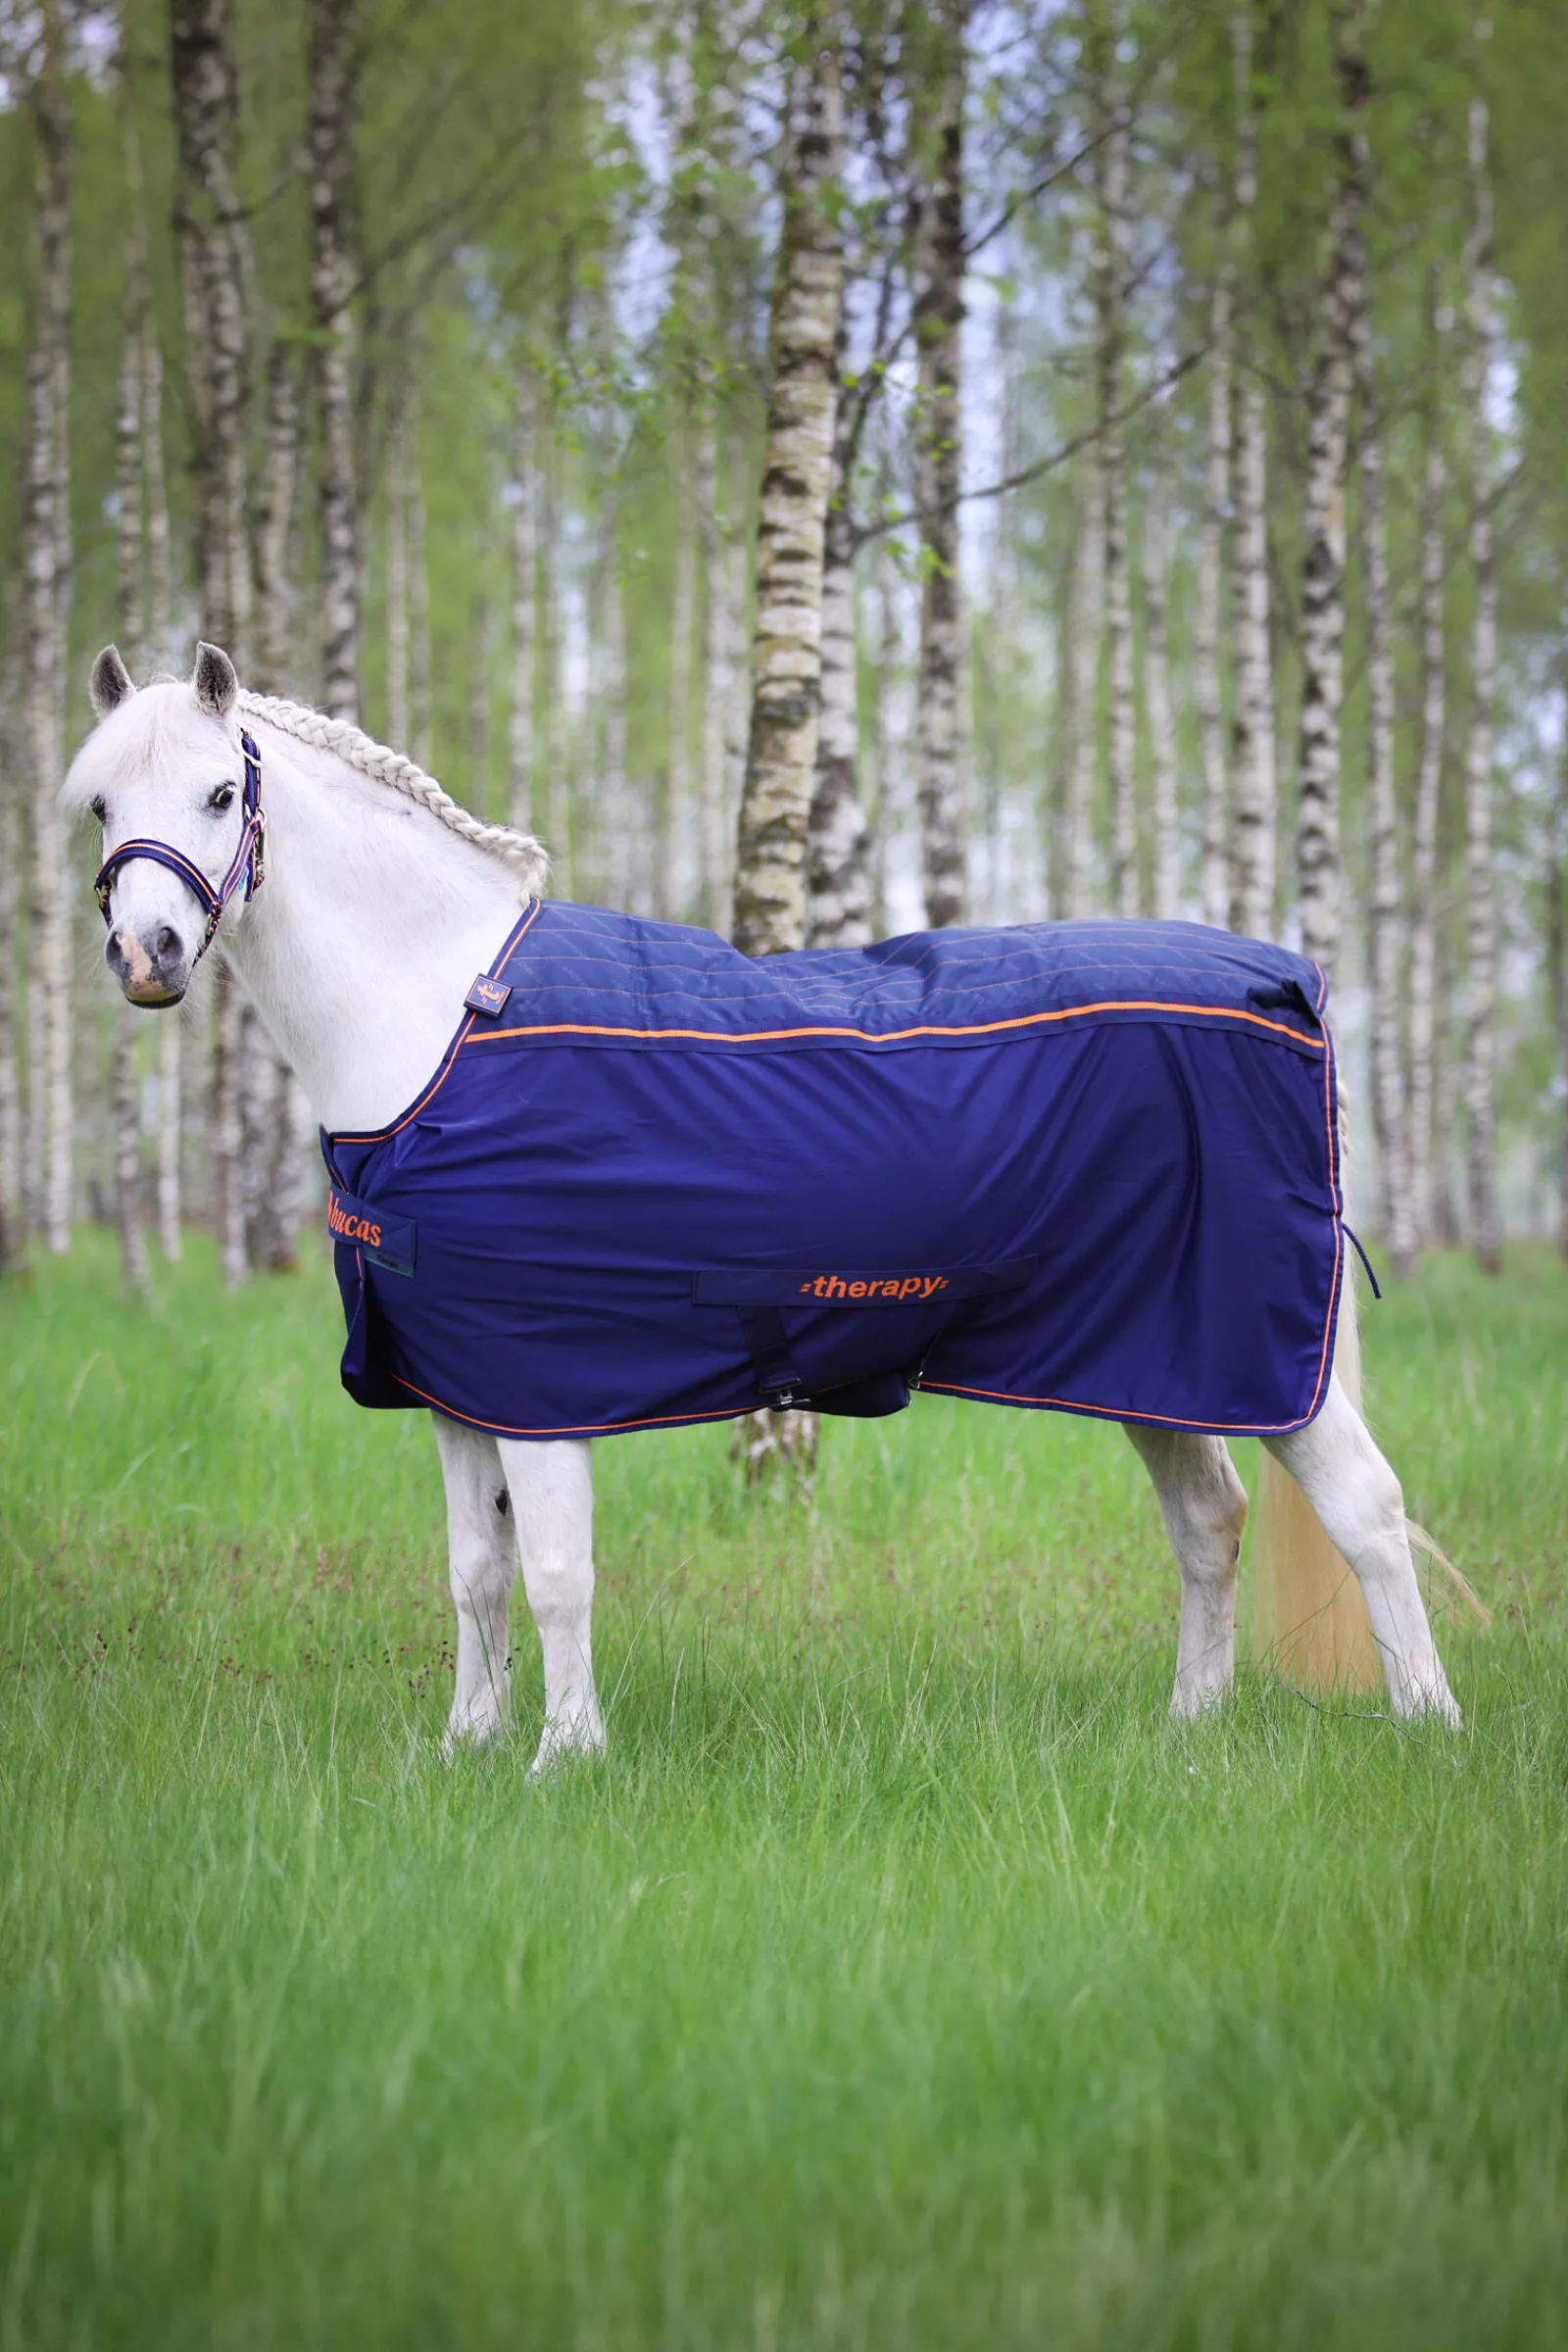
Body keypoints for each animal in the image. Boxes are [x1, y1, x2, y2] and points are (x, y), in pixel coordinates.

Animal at [66, 642, 1462, 1767]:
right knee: (1207, 1519)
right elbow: (475, 1573)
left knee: (1368, 1511)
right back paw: (1190, 1728)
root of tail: (1288, 981)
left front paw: (564, 1758)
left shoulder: (538, 1374)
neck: (443, 1017)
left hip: (1267, 1356)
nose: (146, 957)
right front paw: (467, 1745)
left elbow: (557, 1574)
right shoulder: (453, 1378)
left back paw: (1428, 1726)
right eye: (100, 805)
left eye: (222, 792)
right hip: (1144, 1351)